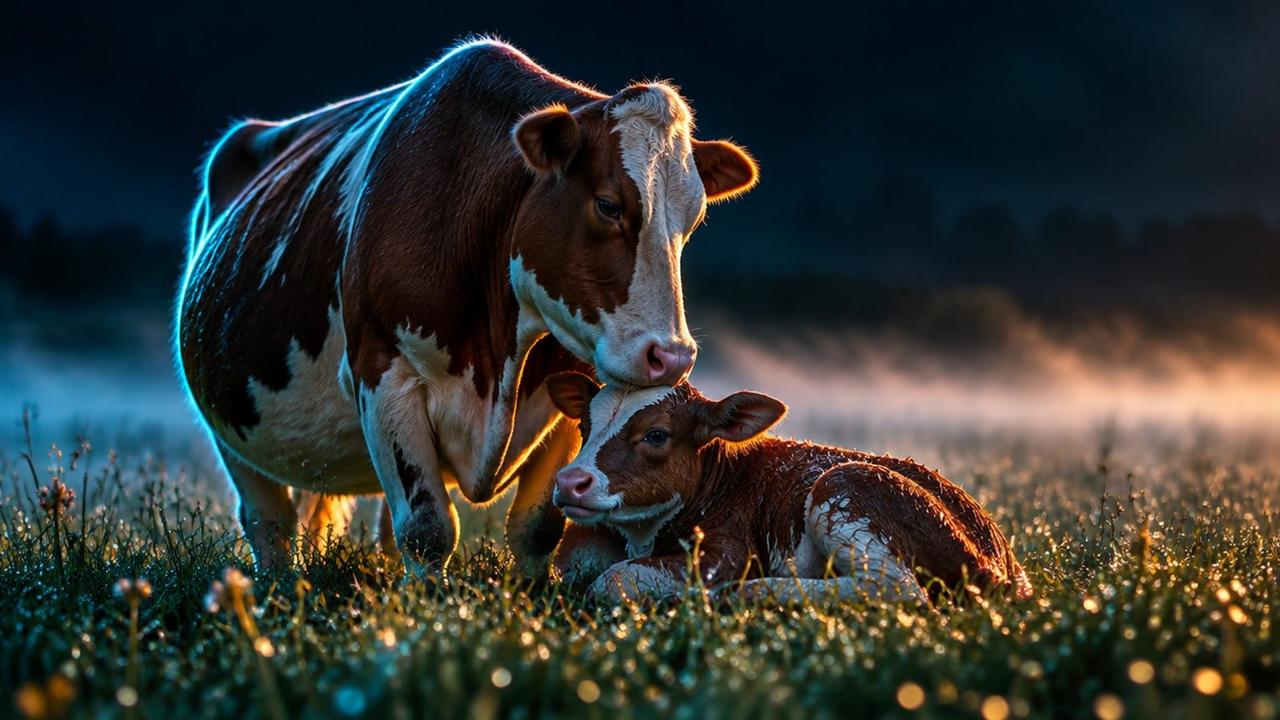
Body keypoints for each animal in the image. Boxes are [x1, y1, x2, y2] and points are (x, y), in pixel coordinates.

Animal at [174, 39, 759, 577]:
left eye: (693, 220)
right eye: (608, 204)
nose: (673, 358)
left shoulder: (576, 385)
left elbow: (537, 527)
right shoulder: (383, 372)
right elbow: (428, 529)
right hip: (229, 425)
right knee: (269, 520)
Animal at [544, 373, 1034, 604]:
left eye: (657, 434)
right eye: (584, 426)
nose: (570, 482)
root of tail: (1001, 559)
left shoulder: (729, 553)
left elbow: (614, 578)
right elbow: (575, 565)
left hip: (846, 483)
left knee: (898, 590)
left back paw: (755, 593)